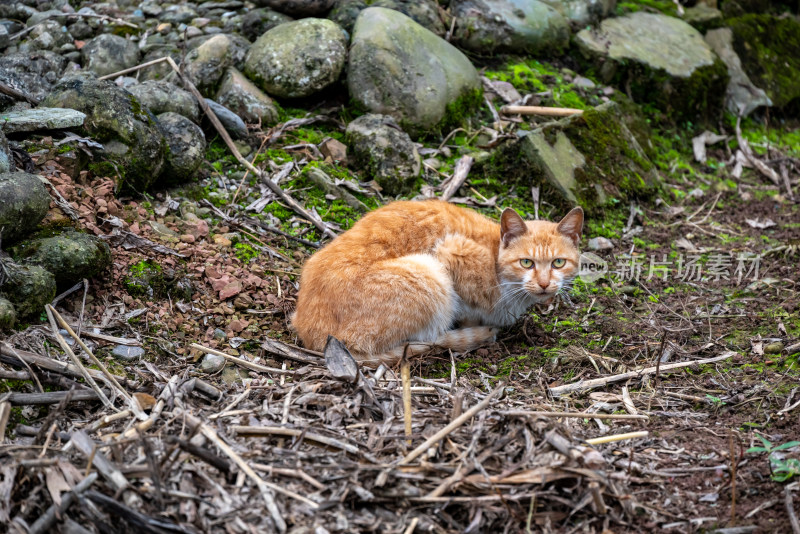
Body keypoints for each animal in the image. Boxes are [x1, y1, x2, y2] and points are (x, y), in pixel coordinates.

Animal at [292, 201, 580, 368]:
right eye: (526, 263)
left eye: (558, 263)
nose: (544, 284)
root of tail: (312, 335)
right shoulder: (451, 251)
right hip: (430, 274)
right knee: (425, 340)